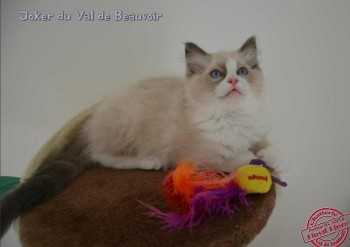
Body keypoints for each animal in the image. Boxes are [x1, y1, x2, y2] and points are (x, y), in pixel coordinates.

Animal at [1, 37, 278, 237]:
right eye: (217, 75)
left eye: (242, 71)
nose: (233, 81)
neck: (232, 116)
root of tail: (90, 123)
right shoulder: (202, 155)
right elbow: (239, 157)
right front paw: (256, 163)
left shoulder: (255, 132)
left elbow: (267, 146)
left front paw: (272, 158)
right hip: (129, 122)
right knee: (101, 156)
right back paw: (150, 161)